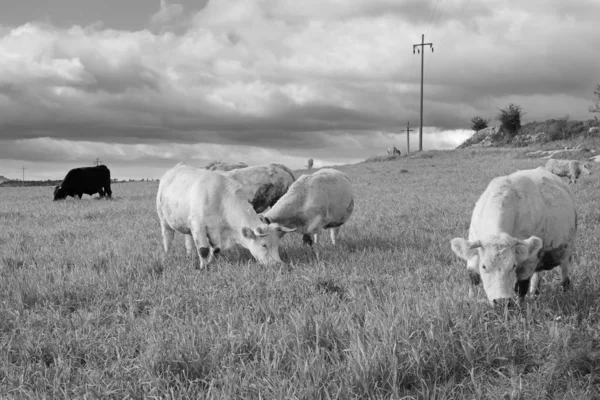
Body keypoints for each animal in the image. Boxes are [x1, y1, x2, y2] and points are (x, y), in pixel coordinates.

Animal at [156, 162, 294, 268]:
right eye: (263, 245)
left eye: (277, 245)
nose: (278, 264)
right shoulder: (198, 226)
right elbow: (204, 250)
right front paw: (204, 268)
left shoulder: (214, 231)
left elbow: (216, 249)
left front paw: (211, 263)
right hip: (163, 220)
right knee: (167, 238)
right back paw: (168, 255)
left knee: (188, 240)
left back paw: (190, 256)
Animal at [450, 169, 576, 306]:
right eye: (483, 266)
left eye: (513, 265)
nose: (501, 301)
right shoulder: (472, 256)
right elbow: (473, 280)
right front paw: (471, 301)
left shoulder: (529, 261)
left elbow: (522, 287)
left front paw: (520, 307)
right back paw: (534, 293)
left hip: (566, 252)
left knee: (564, 276)